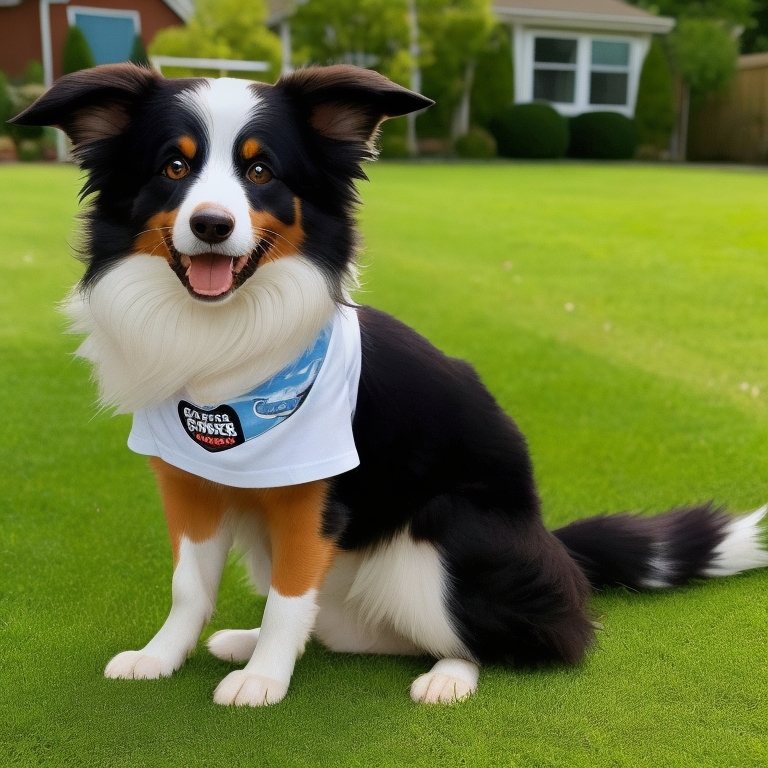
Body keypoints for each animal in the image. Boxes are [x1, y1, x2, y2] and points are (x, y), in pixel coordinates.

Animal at [12, 66, 768, 708]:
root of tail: (555, 548)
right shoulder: (189, 482)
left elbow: (290, 594)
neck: (225, 347)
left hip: (441, 536)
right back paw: (249, 640)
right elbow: (190, 588)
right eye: (174, 166)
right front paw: (163, 657)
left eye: (260, 170)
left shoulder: (310, 498)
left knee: (511, 636)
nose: (212, 225)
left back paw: (448, 677)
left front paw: (263, 681)